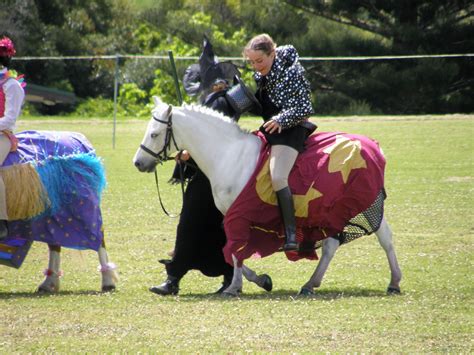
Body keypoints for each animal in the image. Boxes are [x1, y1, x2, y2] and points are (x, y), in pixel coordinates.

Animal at [134, 98, 404, 298]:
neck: (229, 155)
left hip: (359, 204)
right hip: (333, 211)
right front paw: (256, 280)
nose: (138, 163)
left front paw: (236, 286)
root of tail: (372, 147)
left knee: (383, 237)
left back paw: (393, 281)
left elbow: (235, 250)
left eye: (155, 134)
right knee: (333, 245)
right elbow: (233, 250)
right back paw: (311, 283)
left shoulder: (237, 215)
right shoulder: (229, 216)